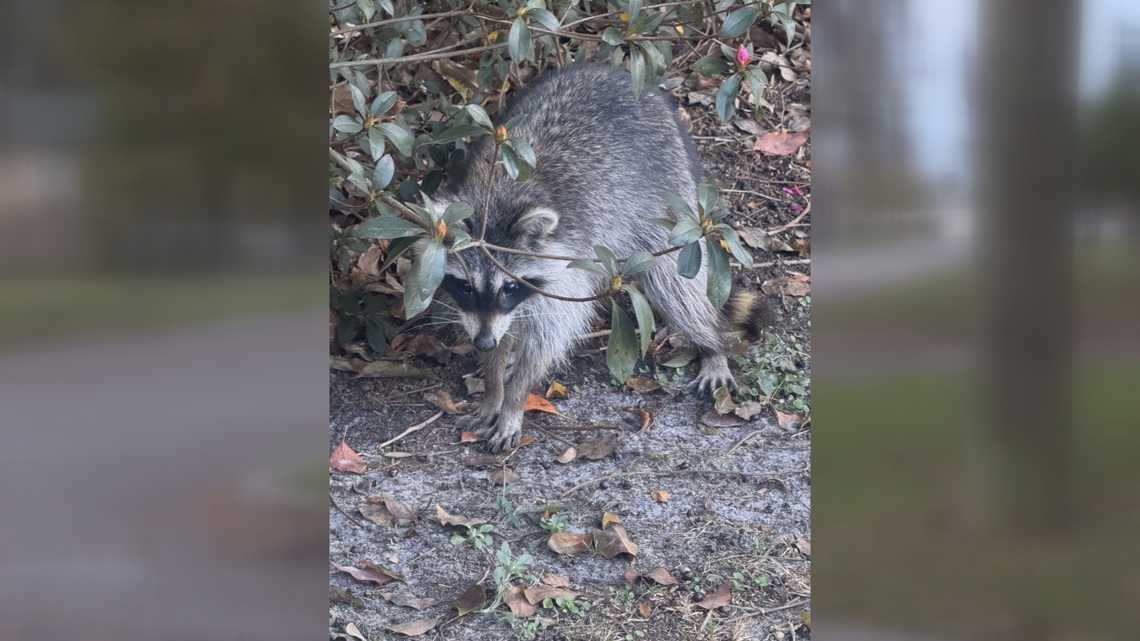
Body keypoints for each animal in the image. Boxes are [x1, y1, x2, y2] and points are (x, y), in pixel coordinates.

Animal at [429, 64, 766, 452]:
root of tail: (620, 74)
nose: (483, 342)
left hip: (670, 197)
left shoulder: (567, 268)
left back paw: (711, 345)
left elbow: (548, 338)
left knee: (675, 287)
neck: (498, 197)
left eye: (509, 287)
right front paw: (494, 386)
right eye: (466, 288)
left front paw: (513, 401)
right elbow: (501, 332)